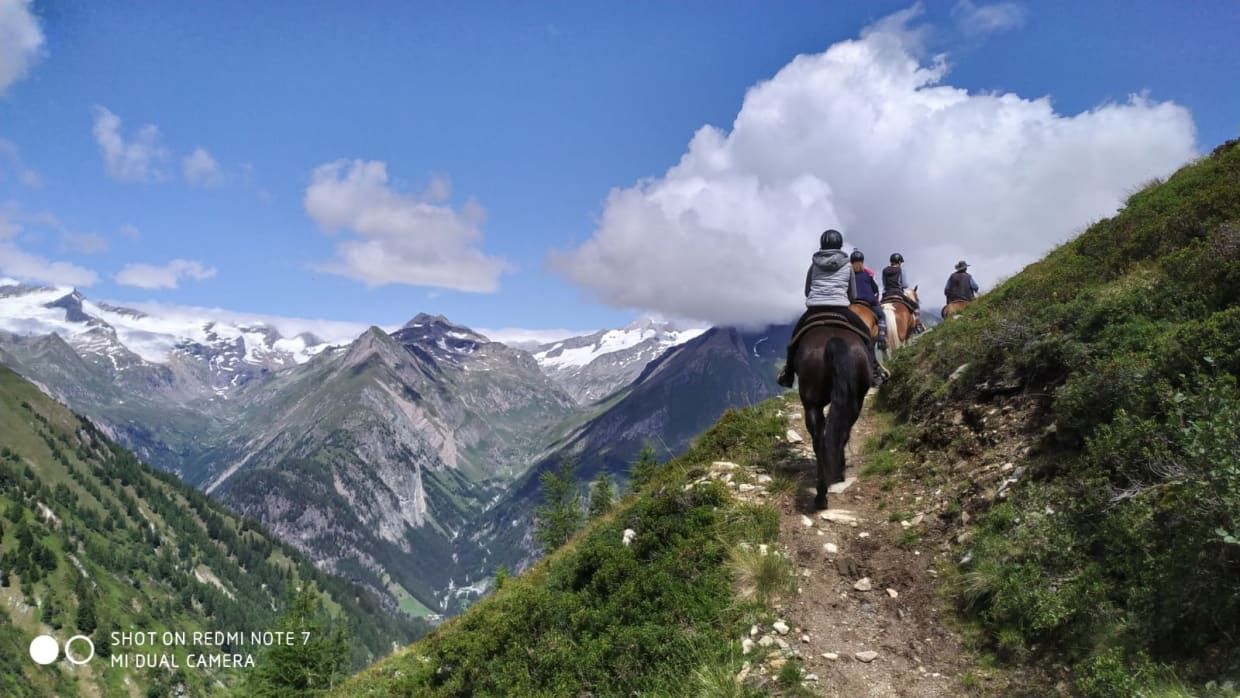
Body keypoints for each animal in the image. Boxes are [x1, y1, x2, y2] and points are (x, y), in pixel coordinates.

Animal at [795, 324, 872, 510]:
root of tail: (832, 339)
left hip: (812, 404)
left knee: (820, 441)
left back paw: (822, 494)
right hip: (855, 401)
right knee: (839, 435)